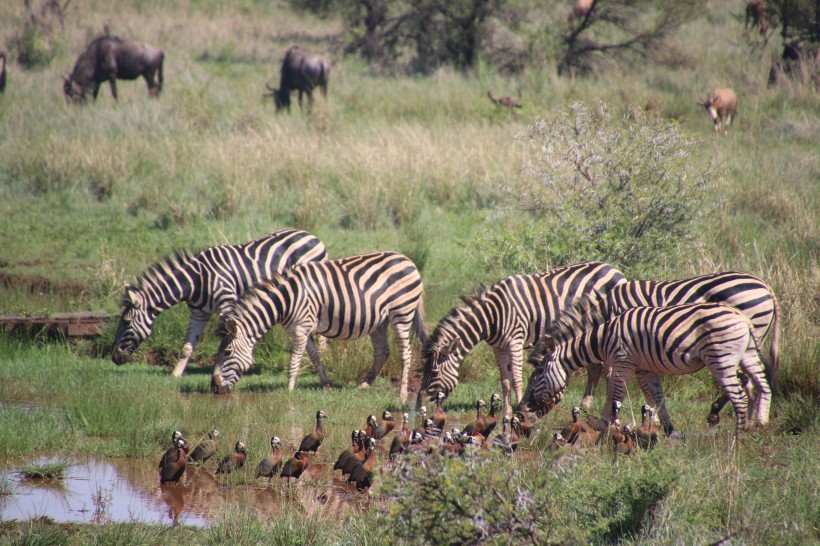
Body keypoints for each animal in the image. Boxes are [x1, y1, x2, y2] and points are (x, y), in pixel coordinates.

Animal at [111, 227, 326, 376]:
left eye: (127, 322)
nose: (114, 358)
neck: (196, 281)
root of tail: (311, 235)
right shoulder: (199, 313)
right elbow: (187, 347)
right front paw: (175, 374)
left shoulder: (226, 303)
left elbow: (226, 338)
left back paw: (326, 354)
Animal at [211, 250, 430, 400]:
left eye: (227, 352)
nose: (214, 387)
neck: (286, 300)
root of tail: (408, 260)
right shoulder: (302, 328)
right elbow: (314, 356)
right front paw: (326, 385)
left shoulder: (300, 329)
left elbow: (294, 361)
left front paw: (289, 390)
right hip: (380, 321)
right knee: (383, 351)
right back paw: (366, 384)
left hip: (402, 313)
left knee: (405, 353)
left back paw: (402, 394)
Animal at [420, 262, 624, 414]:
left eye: (435, 373)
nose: (420, 408)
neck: (492, 315)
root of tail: (615, 269)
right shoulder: (498, 347)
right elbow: (505, 380)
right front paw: (507, 412)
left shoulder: (515, 341)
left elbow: (517, 378)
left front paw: (518, 408)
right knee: (596, 367)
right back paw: (586, 405)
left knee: (609, 368)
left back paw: (609, 405)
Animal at [524, 296, 772, 436]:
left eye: (538, 374)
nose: (521, 409)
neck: (604, 337)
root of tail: (743, 318)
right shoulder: (644, 369)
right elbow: (656, 398)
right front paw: (665, 428)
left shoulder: (623, 361)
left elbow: (615, 394)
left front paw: (608, 425)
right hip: (747, 355)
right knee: (762, 384)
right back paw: (760, 422)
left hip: (721, 358)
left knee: (740, 397)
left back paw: (737, 439)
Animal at [580, 270, 780, 420]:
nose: (581, 407)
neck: (606, 313)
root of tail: (767, 286)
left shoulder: (631, 345)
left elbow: (619, 381)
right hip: (750, 341)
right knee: (753, 379)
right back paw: (751, 419)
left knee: (748, 380)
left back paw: (725, 413)